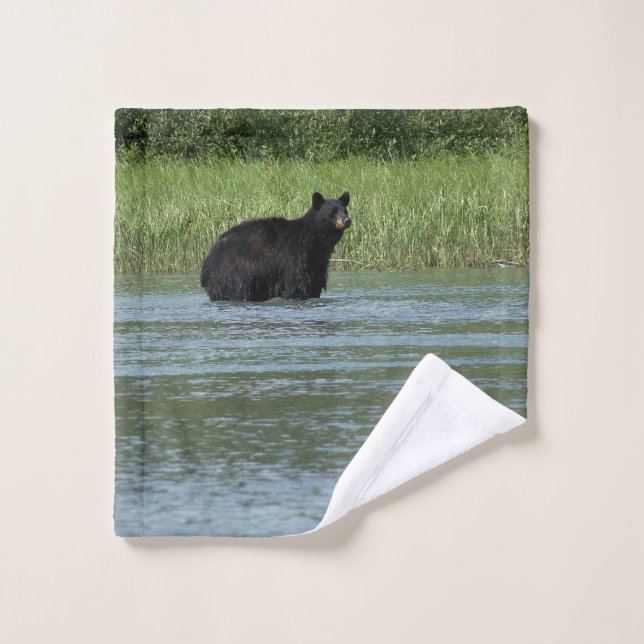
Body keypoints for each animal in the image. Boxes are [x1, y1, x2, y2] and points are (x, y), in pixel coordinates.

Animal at [200, 192, 352, 302]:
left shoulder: (317, 263)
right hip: (233, 271)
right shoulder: (294, 256)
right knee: (236, 290)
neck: (315, 241)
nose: (347, 220)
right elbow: (296, 283)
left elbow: (314, 283)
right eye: (332, 212)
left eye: (345, 210)